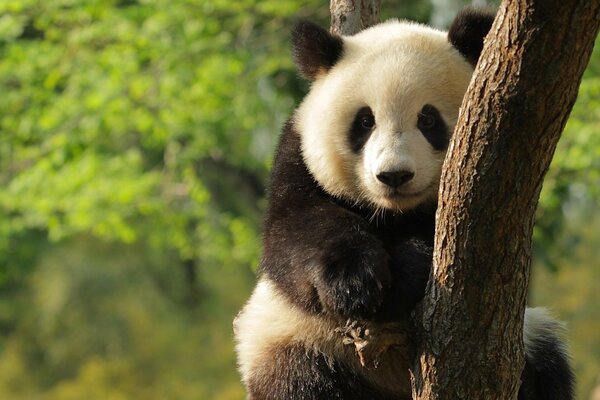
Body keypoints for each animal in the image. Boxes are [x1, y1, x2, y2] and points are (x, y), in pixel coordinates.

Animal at [232, 7, 576, 400]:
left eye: (427, 118)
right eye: (364, 121)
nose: (394, 175)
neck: (393, 214)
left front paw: (403, 275)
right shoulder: (298, 159)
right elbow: (294, 235)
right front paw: (356, 283)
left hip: (530, 336)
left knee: (548, 368)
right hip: (291, 339)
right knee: (299, 380)